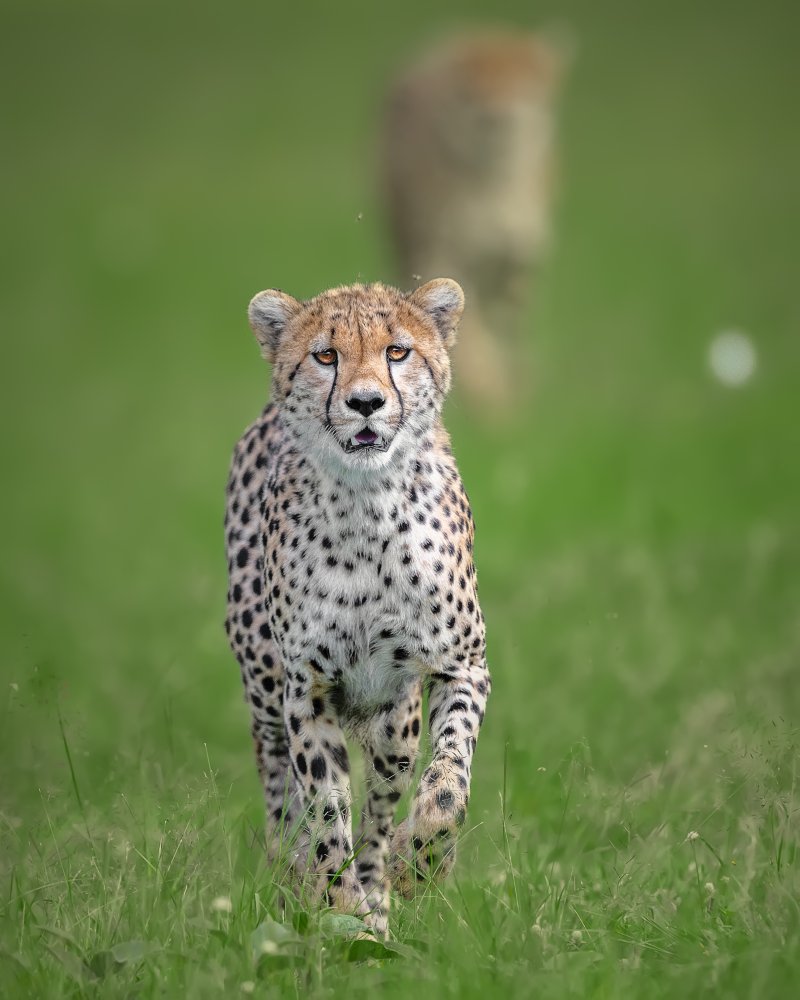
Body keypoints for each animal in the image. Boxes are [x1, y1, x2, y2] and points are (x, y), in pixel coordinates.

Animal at [224, 277, 490, 938]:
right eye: (326, 356)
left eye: (397, 351)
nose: (365, 402)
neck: (367, 504)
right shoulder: (306, 691)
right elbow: (324, 812)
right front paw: (340, 905)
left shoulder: (461, 665)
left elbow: (448, 784)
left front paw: (417, 866)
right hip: (265, 691)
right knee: (282, 797)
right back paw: (304, 884)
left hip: (395, 725)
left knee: (381, 805)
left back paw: (382, 884)